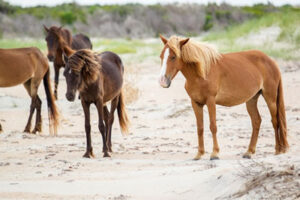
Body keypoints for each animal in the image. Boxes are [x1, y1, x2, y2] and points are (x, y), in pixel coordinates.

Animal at [159, 34, 288, 159]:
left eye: (173, 57)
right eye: (161, 56)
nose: (162, 81)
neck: (202, 73)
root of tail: (271, 61)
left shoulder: (211, 101)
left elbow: (213, 126)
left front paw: (215, 153)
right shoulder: (196, 103)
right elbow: (200, 128)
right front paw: (199, 154)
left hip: (270, 98)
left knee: (275, 121)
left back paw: (278, 150)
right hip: (251, 99)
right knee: (256, 121)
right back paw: (249, 152)